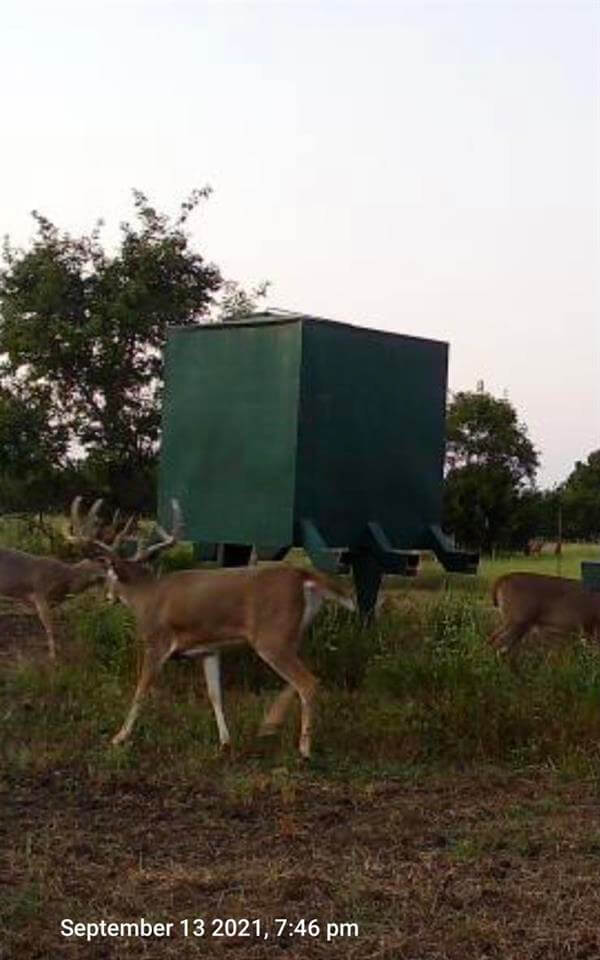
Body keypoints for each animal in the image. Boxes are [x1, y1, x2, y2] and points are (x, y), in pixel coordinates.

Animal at [83, 501, 356, 758]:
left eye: (108, 575)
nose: (107, 597)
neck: (145, 596)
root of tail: (303, 574)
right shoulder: (209, 649)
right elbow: (215, 694)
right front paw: (225, 741)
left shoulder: (157, 641)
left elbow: (141, 690)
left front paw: (119, 737)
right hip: (292, 635)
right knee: (303, 679)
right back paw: (269, 725)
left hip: (272, 638)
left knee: (308, 683)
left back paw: (304, 749)